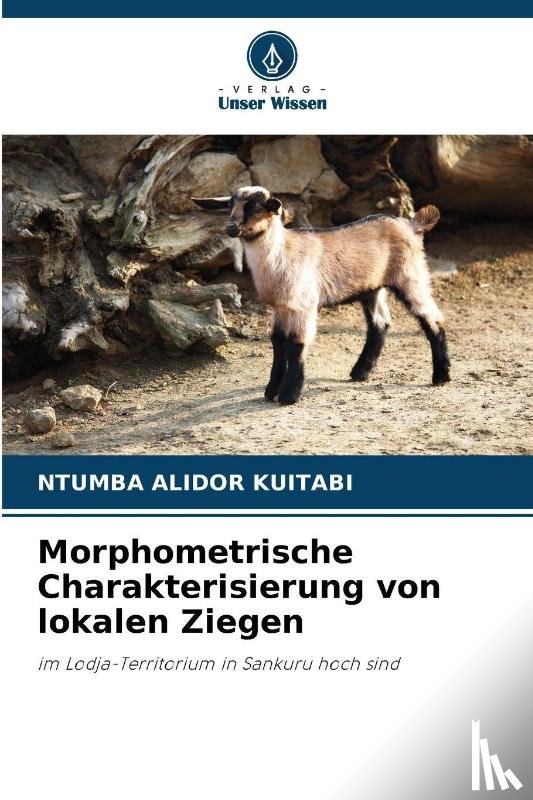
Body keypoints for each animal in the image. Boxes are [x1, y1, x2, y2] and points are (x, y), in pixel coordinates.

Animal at [194, 186, 450, 405]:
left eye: (257, 208)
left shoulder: (303, 305)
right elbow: (278, 343)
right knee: (380, 323)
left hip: (410, 275)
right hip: (371, 287)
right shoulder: (280, 307)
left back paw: (441, 376)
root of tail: (412, 224)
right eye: (229, 205)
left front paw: (289, 395)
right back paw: (360, 372)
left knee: (433, 318)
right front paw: (271, 391)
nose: (231, 228)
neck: (281, 253)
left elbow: (295, 345)